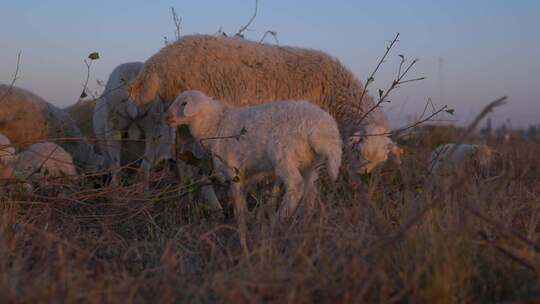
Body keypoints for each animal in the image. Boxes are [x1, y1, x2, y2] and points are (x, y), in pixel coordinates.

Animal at [127, 34, 400, 175]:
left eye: (379, 160)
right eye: (359, 152)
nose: (362, 177)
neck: (332, 91)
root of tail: (156, 63)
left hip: (180, 120)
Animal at [166, 89, 342, 222]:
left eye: (183, 103)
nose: (166, 117)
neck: (215, 123)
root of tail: (322, 127)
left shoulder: (233, 168)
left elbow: (237, 197)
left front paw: (241, 221)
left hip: (285, 154)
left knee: (296, 185)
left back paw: (279, 219)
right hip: (310, 161)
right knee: (310, 189)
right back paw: (303, 219)